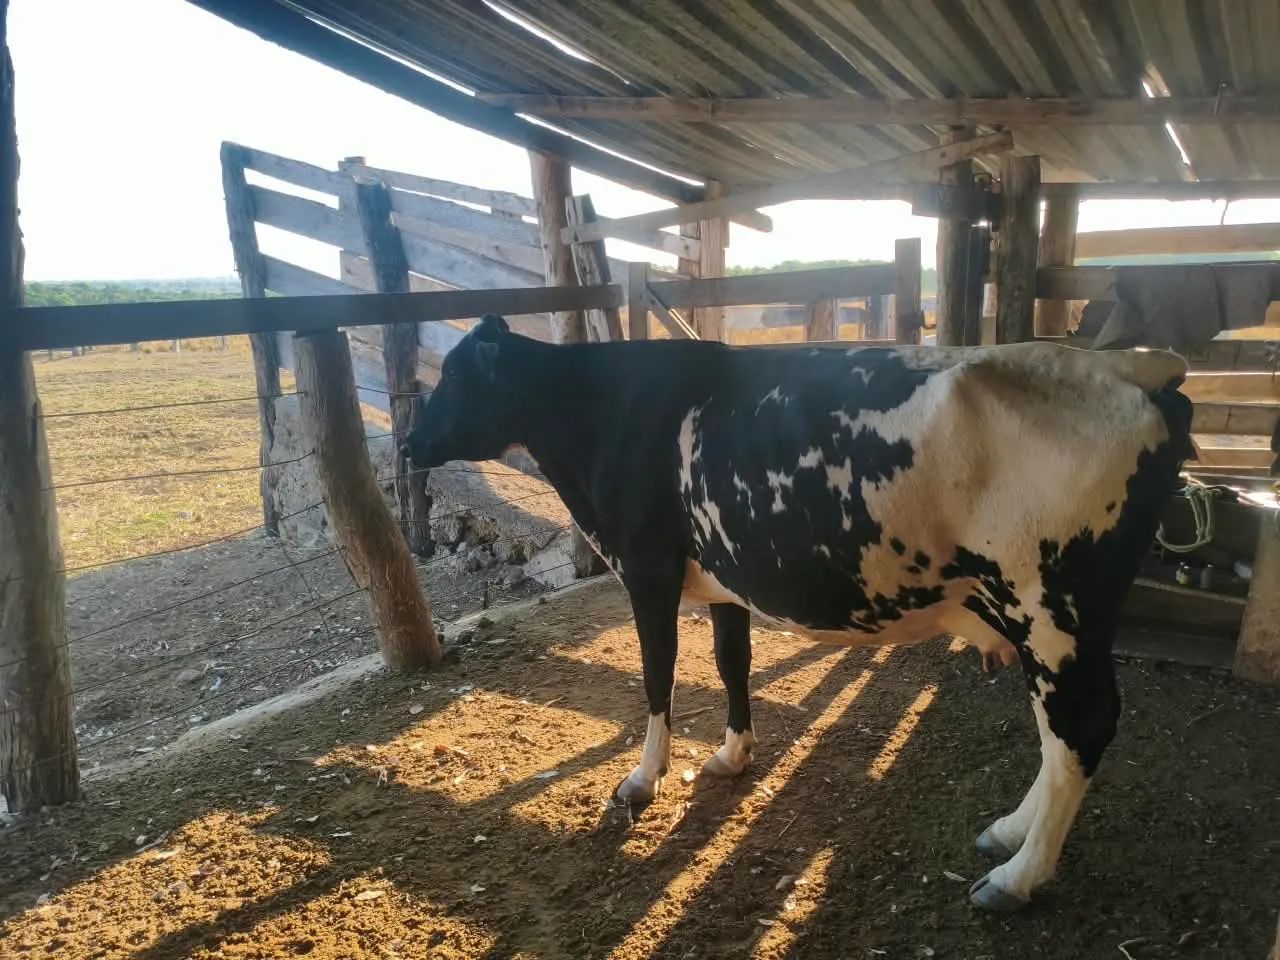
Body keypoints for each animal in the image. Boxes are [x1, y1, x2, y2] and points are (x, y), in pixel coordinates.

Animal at [401, 314, 1193, 912]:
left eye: (458, 378)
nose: (408, 442)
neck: (603, 411)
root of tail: (1134, 370)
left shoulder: (648, 569)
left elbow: (658, 677)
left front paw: (642, 780)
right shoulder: (725, 581)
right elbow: (731, 664)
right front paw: (731, 755)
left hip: (1052, 609)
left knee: (1081, 726)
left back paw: (1016, 878)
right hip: (1041, 619)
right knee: (1058, 735)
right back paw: (1008, 833)